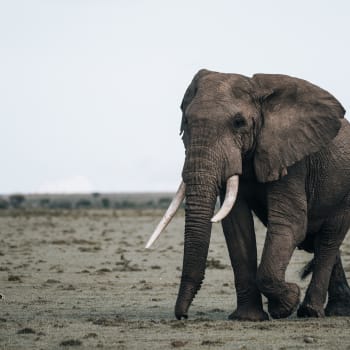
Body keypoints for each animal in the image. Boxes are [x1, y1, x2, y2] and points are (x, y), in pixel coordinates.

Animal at [146, 69, 350, 322]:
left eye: (239, 123)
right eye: (185, 123)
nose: (182, 316)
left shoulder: (291, 158)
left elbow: (291, 223)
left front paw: (285, 304)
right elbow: (237, 226)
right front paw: (248, 318)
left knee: (329, 239)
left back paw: (310, 312)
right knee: (320, 242)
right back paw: (337, 310)